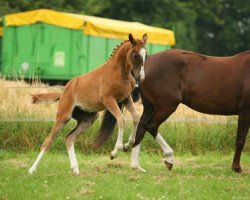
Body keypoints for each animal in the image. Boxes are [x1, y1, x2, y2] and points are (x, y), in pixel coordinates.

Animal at [28, 34, 147, 175]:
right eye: (135, 54)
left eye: (146, 54)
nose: (141, 77)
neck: (119, 72)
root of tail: (64, 91)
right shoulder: (108, 99)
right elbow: (121, 120)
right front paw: (114, 152)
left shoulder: (125, 98)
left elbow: (136, 117)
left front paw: (128, 145)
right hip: (63, 116)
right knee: (48, 140)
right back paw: (32, 169)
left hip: (88, 119)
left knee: (69, 138)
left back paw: (75, 169)